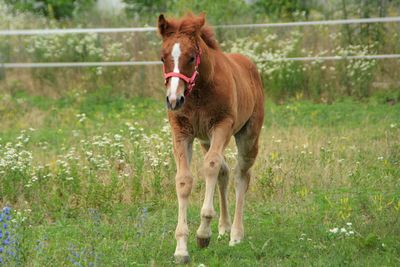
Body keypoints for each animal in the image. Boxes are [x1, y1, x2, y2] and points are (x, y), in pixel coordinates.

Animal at [157, 12, 266, 264]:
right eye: (162, 57)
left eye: (191, 57)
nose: (174, 100)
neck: (197, 92)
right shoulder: (181, 132)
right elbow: (184, 180)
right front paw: (181, 248)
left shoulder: (222, 125)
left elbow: (210, 167)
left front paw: (203, 233)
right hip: (205, 140)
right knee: (225, 172)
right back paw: (224, 227)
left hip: (248, 136)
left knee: (240, 176)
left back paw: (235, 234)